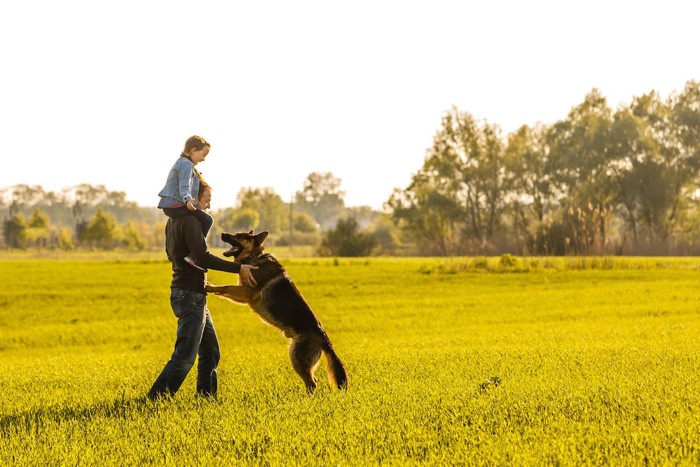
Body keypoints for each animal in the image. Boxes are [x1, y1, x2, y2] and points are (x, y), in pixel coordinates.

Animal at [205, 230, 350, 394]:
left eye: (240, 236)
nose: (222, 233)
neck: (254, 256)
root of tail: (324, 338)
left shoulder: (246, 293)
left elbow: (225, 287)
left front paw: (208, 286)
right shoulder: (243, 294)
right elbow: (224, 289)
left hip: (297, 358)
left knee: (312, 383)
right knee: (312, 381)